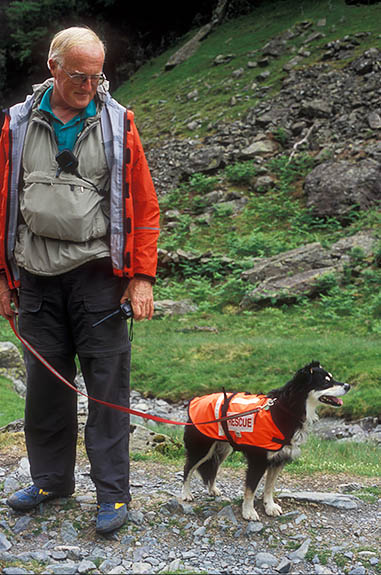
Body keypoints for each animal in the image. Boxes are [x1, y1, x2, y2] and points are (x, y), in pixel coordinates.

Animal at [181, 364, 350, 520]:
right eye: (325, 382)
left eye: (332, 378)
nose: (348, 386)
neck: (287, 410)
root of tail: (196, 400)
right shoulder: (258, 461)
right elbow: (251, 489)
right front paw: (248, 511)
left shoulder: (279, 459)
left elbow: (269, 487)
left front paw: (269, 506)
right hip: (202, 449)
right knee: (188, 468)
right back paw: (186, 493)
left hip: (223, 448)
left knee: (213, 467)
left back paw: (212, 489)